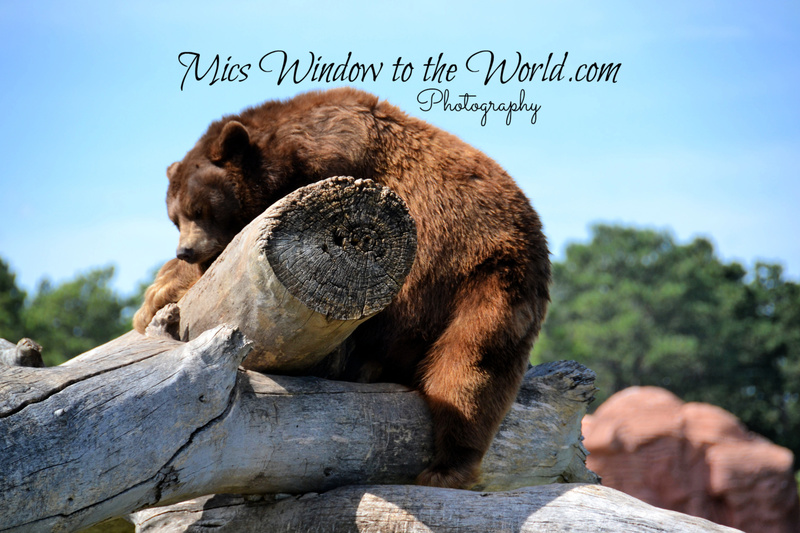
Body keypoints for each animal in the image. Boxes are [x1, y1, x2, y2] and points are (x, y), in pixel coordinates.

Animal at [133, 87, 551, 489]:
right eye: (175, 217)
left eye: (199, 209)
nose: (185, 250)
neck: (286, 152)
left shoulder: (332, 166)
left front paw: (156, 294)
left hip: (489, 275)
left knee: (472, 365)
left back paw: (447, 467)